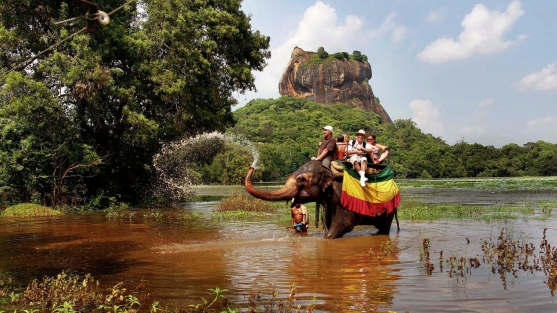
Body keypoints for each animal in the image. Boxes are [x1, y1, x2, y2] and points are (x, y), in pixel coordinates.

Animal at [245, 160, 398, 238]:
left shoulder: (339, 197)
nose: (252, 166)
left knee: (384, 227)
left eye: (301, 179)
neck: (327, 168)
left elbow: (345, 223)